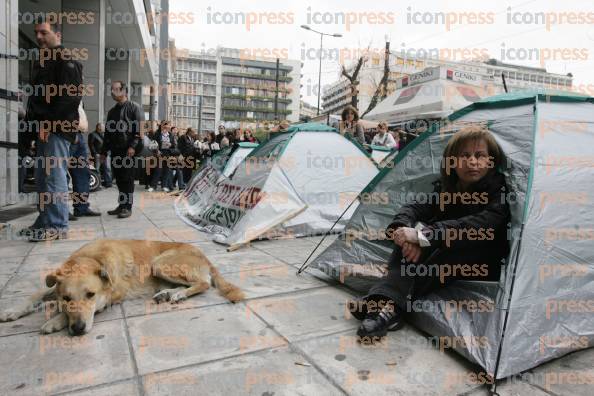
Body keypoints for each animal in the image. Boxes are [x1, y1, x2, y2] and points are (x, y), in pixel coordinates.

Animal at [0, 240, 243, 336]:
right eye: (67, 298)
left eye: (90, 295)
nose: (77, 329)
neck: (93, 259)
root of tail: (203, 255)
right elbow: (36, 294)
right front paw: (13, 311)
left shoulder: (112, 295)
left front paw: (54, 320)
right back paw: (167, 294)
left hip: (160, 263)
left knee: (204, 283)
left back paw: (180, 294)